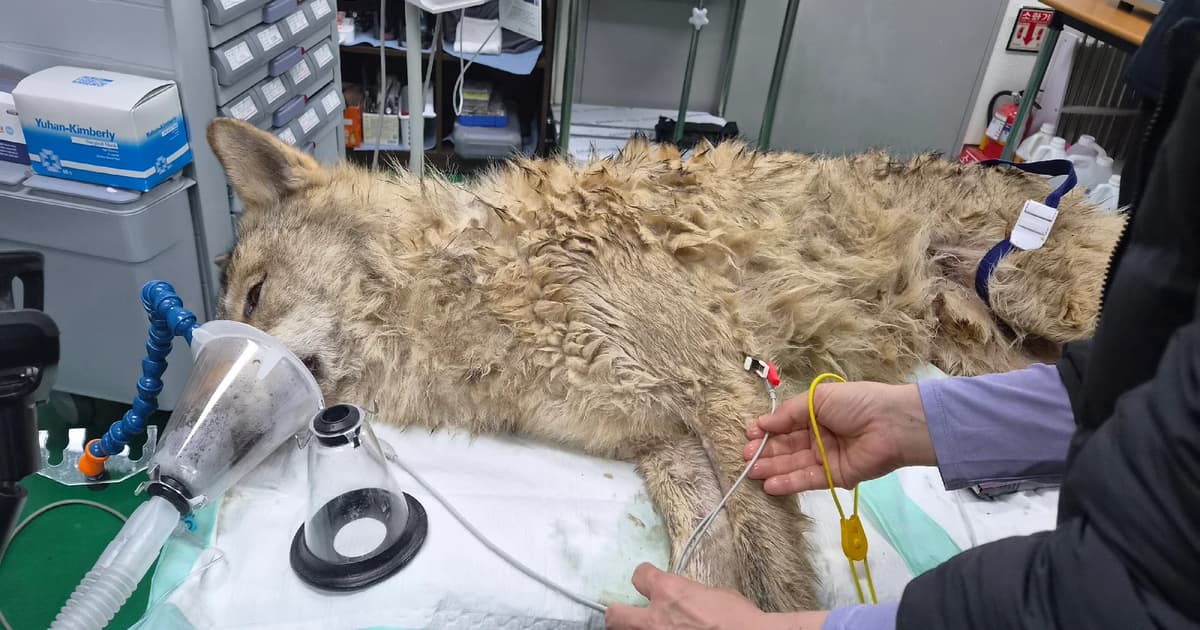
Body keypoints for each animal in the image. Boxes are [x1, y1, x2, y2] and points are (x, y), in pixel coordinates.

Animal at [206, 118, 1122, 612]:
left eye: (254, 297)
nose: (200, 455)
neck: (467, 278)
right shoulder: (666, 444)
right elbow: (713, 558)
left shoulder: (722, 390)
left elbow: (772, 579)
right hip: (986, 353)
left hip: (1044, 302)